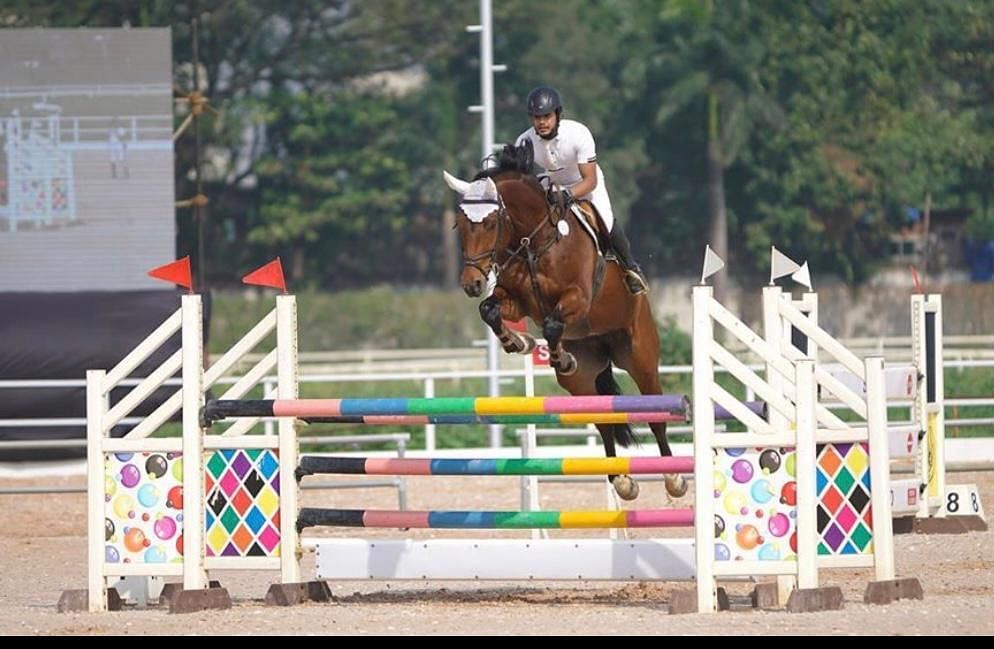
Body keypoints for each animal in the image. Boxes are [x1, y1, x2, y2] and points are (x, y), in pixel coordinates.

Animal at [446, 144, 684, 498]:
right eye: (460, 224)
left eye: (489, 223)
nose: (472, 284)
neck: (532, 241)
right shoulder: (517, 302)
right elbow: (490, 311)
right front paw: (518, 342)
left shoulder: (578, 299)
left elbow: (552, 324)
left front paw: (557, 355)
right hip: (582, 381)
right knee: (602, 419)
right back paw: (621, 480)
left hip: (641, 357)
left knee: (656, 414)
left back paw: (674, 478)